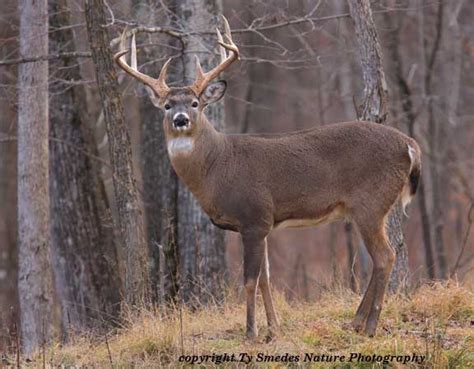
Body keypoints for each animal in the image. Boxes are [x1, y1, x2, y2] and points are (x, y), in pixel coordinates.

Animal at [115, 17, 422, 340]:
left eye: (196, 103)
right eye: (167, 105)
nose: (181, 119)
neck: (218, 167)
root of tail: (410, 144)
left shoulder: (253, 217)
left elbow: (250, 280)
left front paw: (251, 332)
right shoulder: (262, 224)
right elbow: (265, 278)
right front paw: (273, 328)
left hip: (370, 203)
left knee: (385, 257)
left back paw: (369, 326)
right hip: (371, 207)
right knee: (382, 258)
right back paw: (356, 322)